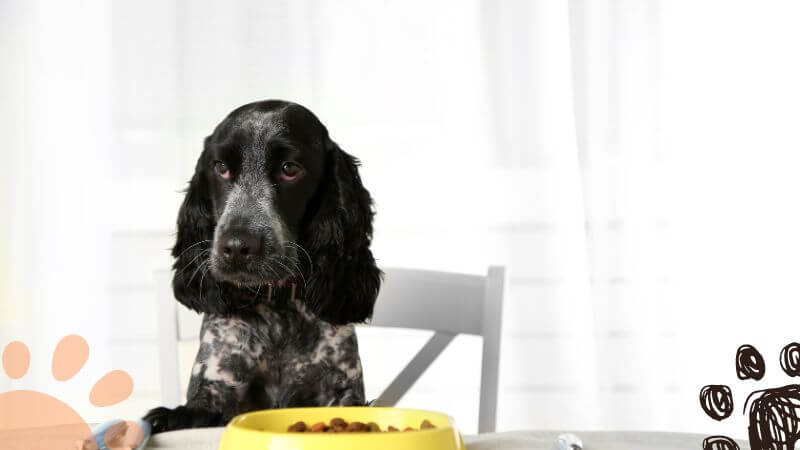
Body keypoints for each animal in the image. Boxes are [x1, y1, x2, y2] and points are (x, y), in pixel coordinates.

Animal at [143, 101, 382, 432]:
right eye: (221, 167)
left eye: (290, 169)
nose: (236, 247)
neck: (278, 308)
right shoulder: (216, 386)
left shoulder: (340, 391)